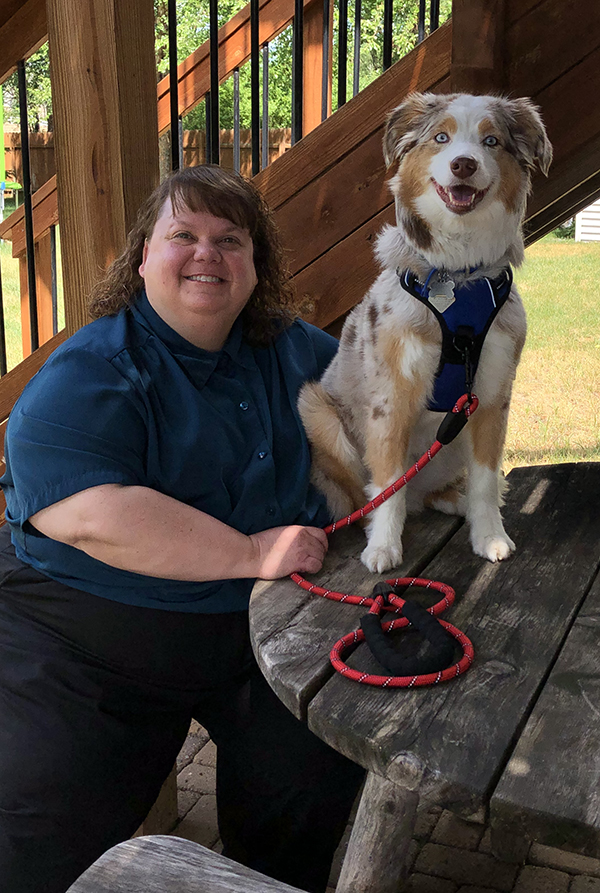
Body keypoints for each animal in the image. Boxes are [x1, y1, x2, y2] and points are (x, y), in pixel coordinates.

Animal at [298, 92, 552, 572]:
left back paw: (458, 501)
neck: (459, 270)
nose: (464, 165)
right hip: (317, 411)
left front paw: (490, 535)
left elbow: (486, 479)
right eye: (441, 138)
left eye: (491, 141)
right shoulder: (391, 396)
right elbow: (386, 484)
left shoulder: (492, 394)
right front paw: (383, 547)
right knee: (368, 496)